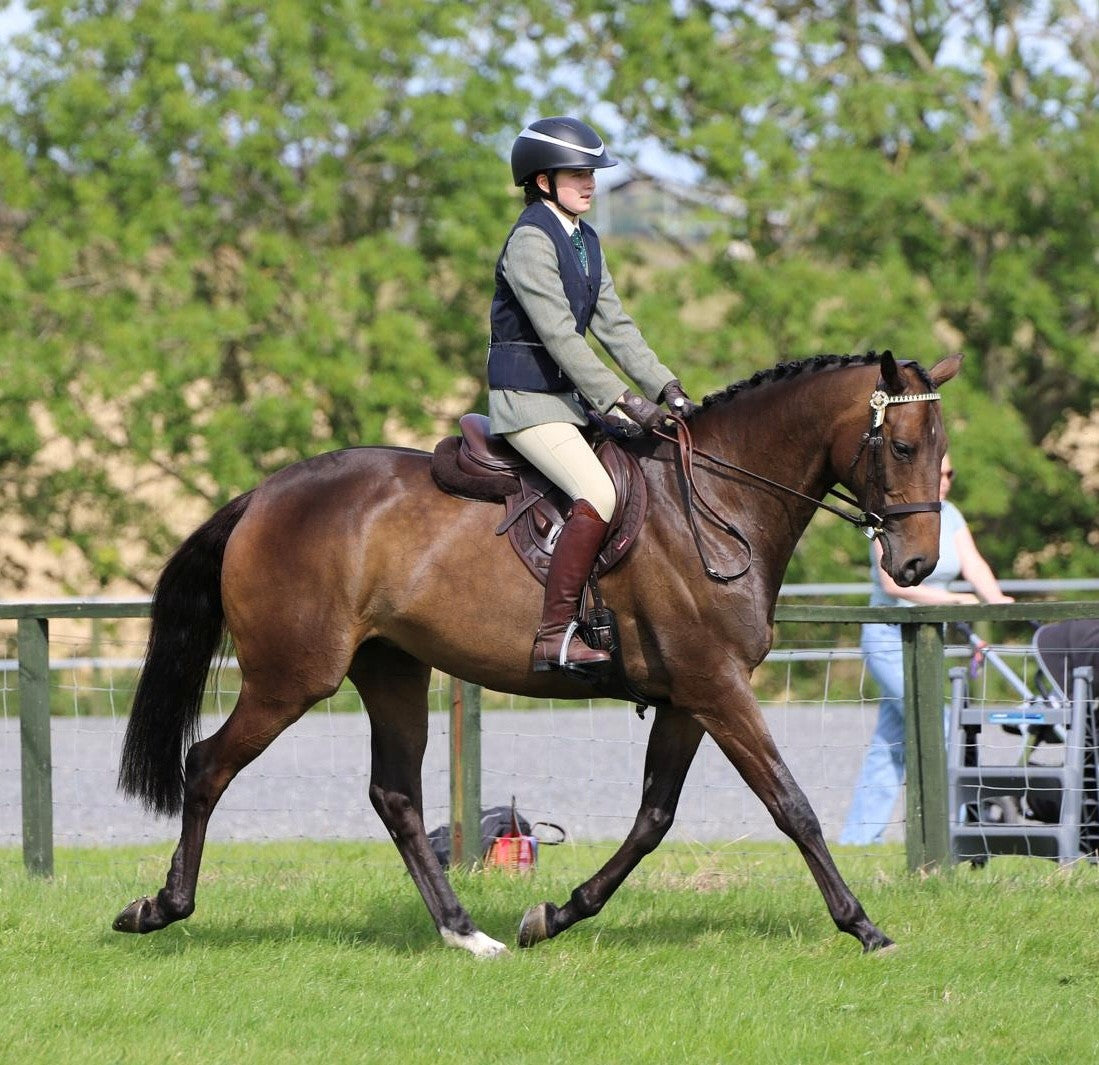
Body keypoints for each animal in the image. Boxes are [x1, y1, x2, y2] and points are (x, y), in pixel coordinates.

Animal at [114, 349, 961, 957]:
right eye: (902, 446)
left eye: (941, 453)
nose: (916, 564)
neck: (718, 500)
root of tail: (263, 494)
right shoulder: (717, 687)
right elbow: (791, 805)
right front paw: (863, 926)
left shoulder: (690, 697)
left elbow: (653, 816)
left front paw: (554, 914)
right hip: (291, 679)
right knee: (207, 765)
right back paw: (159, 906)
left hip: (391, 669)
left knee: (395, 796)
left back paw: (467, 933)